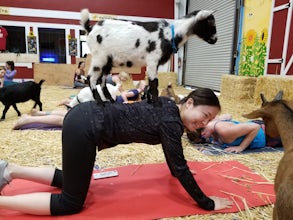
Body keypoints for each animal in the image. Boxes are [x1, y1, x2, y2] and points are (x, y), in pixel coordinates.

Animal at [80, 9, 217, 106]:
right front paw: (157, 104)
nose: (215, 40)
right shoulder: (153, 59)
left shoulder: (154, 63)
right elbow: (154, 83)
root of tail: (90, 29)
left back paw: (111, 101)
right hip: (99, 57)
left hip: (107, 61)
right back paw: (100, 103)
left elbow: (151, 82)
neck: (170, 33)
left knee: (102, 81)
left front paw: (150, 101)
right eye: (210, 22)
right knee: (91, 78)